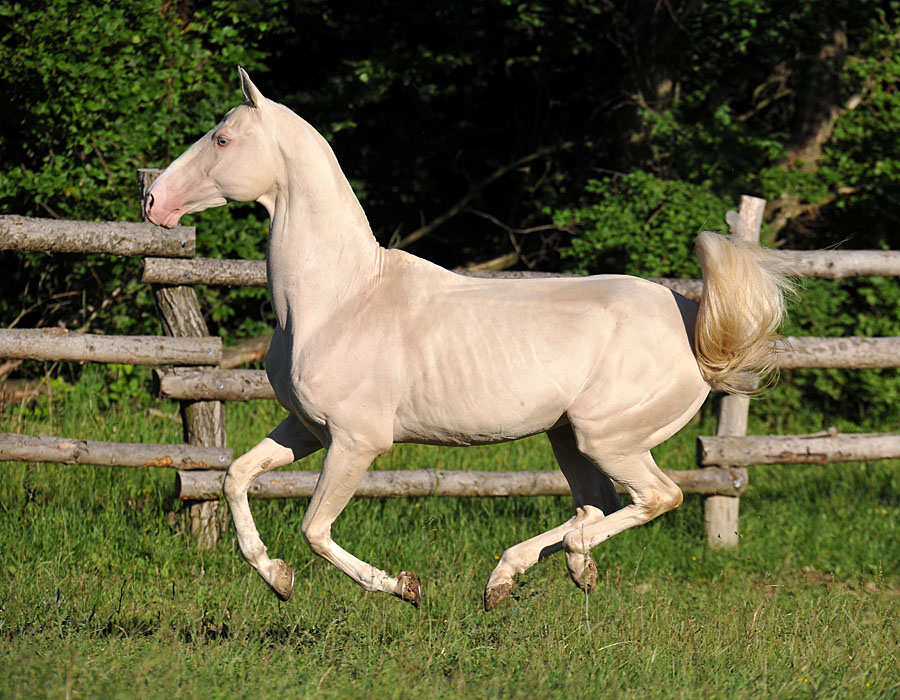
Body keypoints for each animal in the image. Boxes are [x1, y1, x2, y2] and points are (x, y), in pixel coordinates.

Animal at [144, 67, 792, 612]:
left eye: (221, 140)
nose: (153, 201)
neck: (338, 299)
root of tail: (694, 325)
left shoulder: (356, 442)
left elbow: (314, 529)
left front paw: (403, 587)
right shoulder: (305, 429)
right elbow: (236, 476)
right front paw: (276, 577)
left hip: (608, 438)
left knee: (654, 499)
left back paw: (545, 566)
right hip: (568, 437)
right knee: (598, 505)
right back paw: (529, 575)